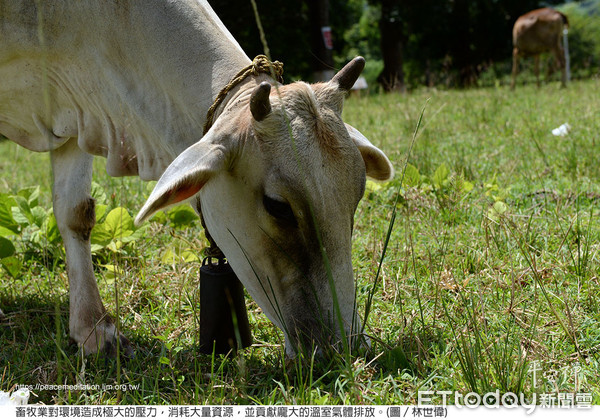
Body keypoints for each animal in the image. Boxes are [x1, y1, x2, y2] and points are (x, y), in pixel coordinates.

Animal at [0, 0, 394, 358]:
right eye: (278, 207)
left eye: (357, 195)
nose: (342, 348)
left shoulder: (75, 112)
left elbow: (76, 212)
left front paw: (93, 330)